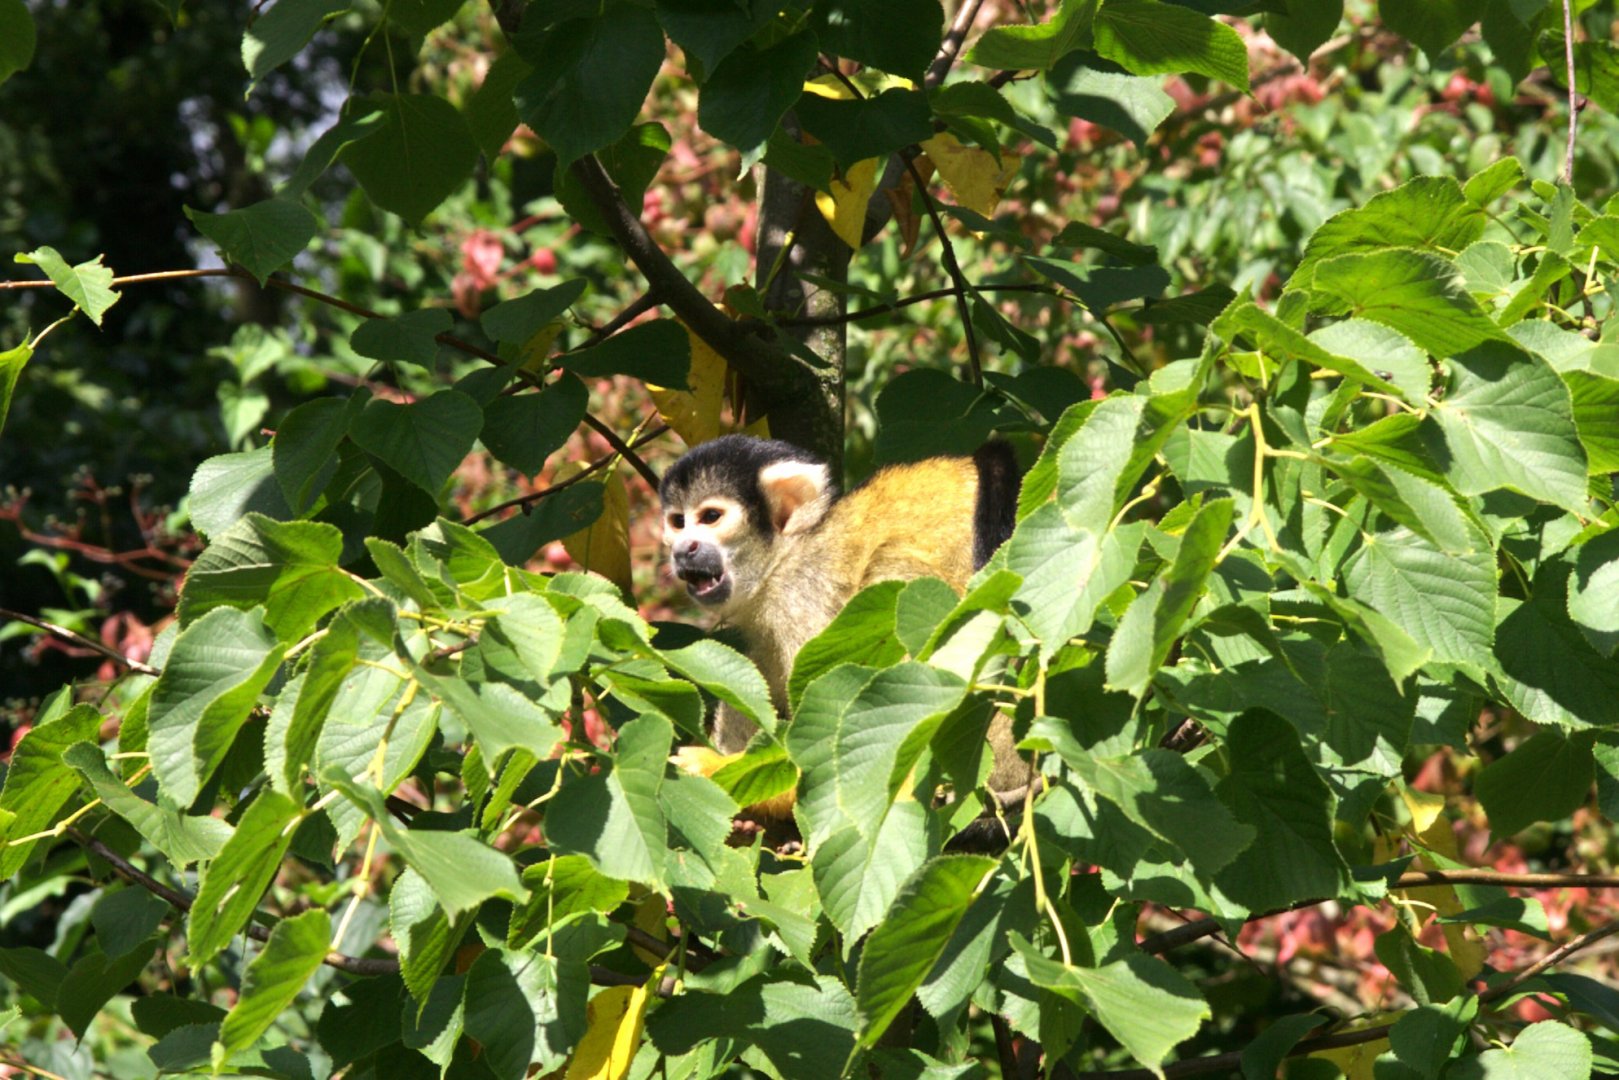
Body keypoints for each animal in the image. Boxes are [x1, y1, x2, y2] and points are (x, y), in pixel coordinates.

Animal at [658, 434, 1029, 802]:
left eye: (711, 516)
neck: (787, 555)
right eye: (677, 522)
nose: (683, 549)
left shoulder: (801, 594)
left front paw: (710, 766)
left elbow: (823, 742)